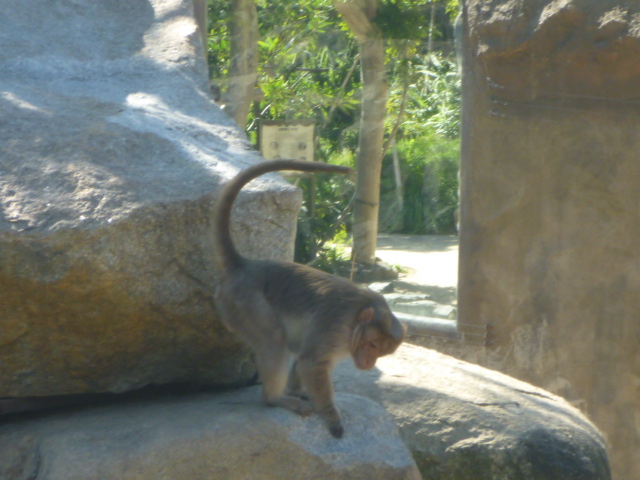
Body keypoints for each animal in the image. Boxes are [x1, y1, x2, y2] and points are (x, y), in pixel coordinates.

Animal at [214, 159, 404, 436]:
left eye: (381, 352)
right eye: (373, 346)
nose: (369, 362)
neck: (356, 320)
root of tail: (244, 266)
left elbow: (304, 361)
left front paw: (298, 390)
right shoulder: (336, 324)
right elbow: (311, 364)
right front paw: (331, 416)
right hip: (244, 303)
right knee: (274, 339)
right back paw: (274, 398)